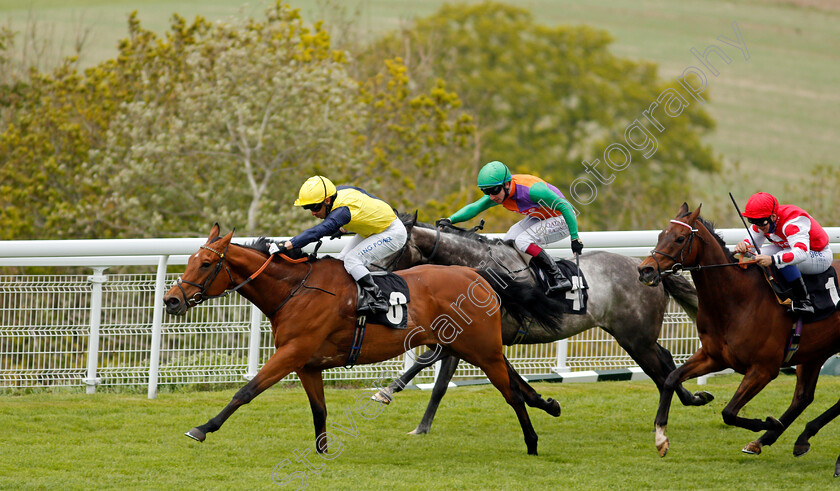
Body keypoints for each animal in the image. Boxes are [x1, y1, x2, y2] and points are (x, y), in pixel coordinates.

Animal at [164, 225, 568, 456]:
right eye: (190, 260)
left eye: (205, 264)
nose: (171, 300)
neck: (295, 289)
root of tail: (477, 274)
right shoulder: (307, 363)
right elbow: (319, 409)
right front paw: (322, 452)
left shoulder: (292, 353)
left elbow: (245, 392)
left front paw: (202, 429)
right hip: (471, 346)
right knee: (514, 378)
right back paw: (548, 405)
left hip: (478, 348)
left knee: (510, 393)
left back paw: (532, 442)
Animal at [370, 214, 712, 434]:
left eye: (391, 247)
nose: (372, 278)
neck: (478, 269)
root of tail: (647, 269)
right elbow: (496, 378)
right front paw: (547, 403)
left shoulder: (473, 337)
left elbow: (437, 373)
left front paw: (394, 398)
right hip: (635, 336)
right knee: (664, 361)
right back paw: (693, 397)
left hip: (634, 337)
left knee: (660, 367)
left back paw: (689, 399)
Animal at [636, 203, 840, 462]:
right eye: (661, 235)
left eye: (680, 238)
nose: (645, 270)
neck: (736, 301)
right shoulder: (713, 357)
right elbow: (671, 379)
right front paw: (661, 437)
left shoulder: (764, 369)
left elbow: (729, 412)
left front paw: (770, 422)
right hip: (815, 352)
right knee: (803, 397)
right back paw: (778, 439)